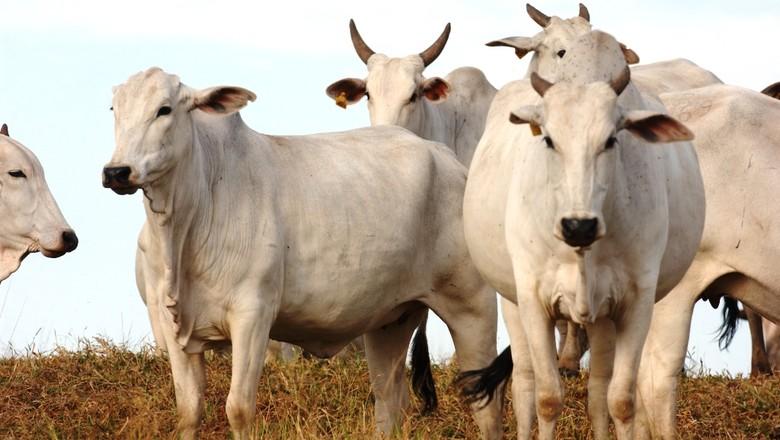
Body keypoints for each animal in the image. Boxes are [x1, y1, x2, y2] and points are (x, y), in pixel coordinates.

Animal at [102, 68, 500, 440]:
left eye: (164, 109)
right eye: (114, 109)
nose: (117, 171)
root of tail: (450, 161)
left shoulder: (253, 315)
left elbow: (239, 408)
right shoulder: (169, 325)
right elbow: (188, 409)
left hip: (472, 307)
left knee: (487, 407)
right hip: (390, 322)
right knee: (389, 402)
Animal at [458, 29, 708, 438]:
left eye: (611, 140)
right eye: (548, 139)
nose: (578, 225)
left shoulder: (636, 302)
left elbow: (621, 400)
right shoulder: (533, 299)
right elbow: (547, 397)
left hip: (604, 319)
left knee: (598, 390)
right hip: (510, 299)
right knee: (524, 382)